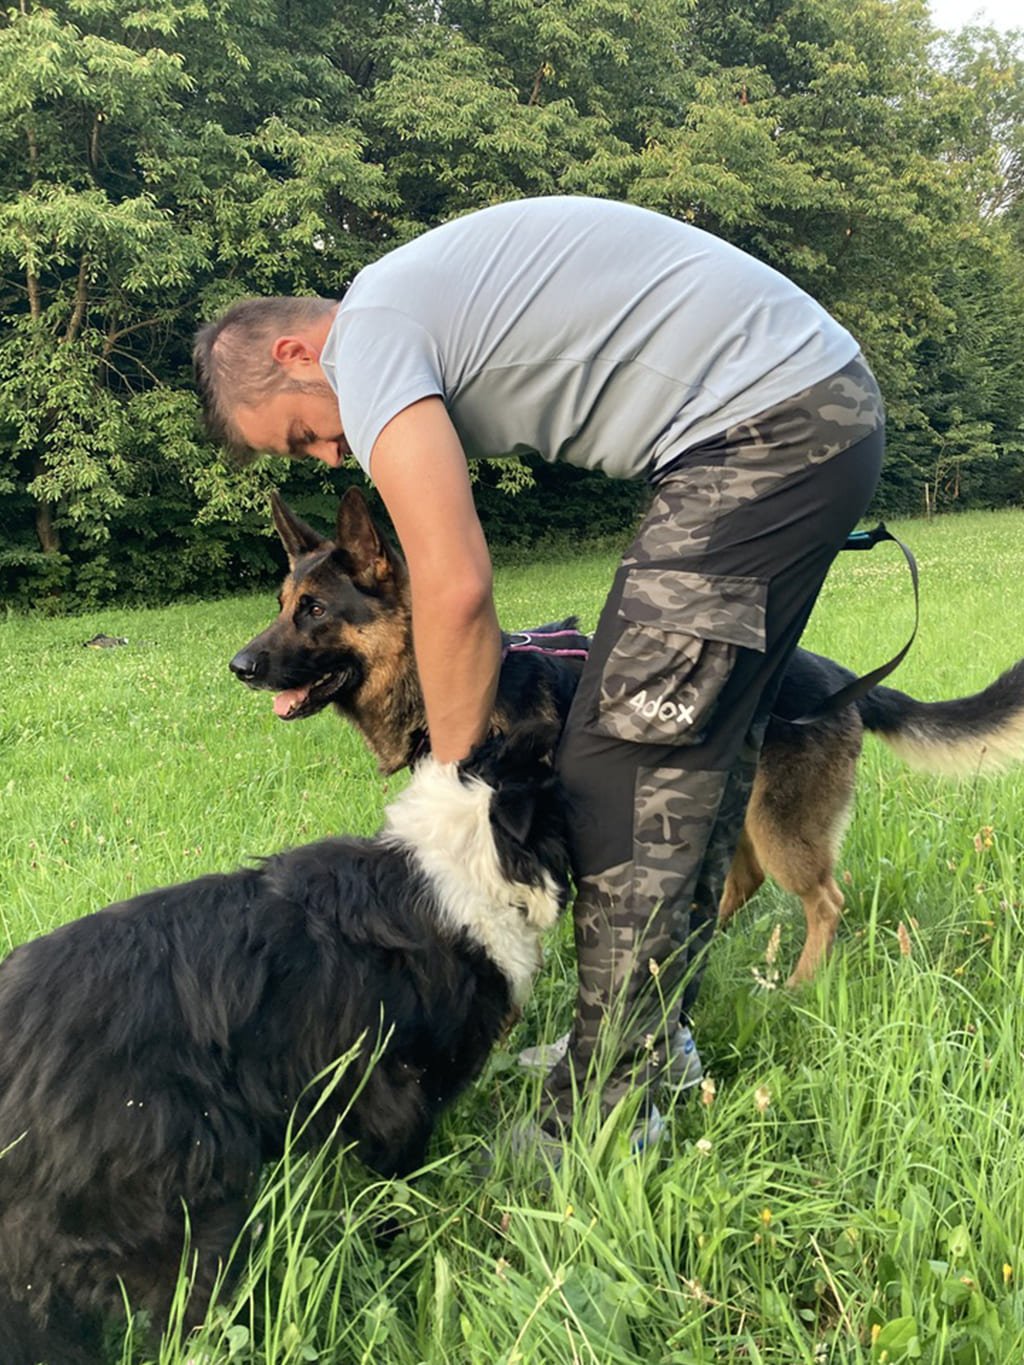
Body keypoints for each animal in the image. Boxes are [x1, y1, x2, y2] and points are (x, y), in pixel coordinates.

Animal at [232, 491, 1024, 982]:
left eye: (314, 609)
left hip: (780, 827)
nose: (239, 666)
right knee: (737, 883)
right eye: (281, 603)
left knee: (824, 900)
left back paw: (798, 983)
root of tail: (845, 678)